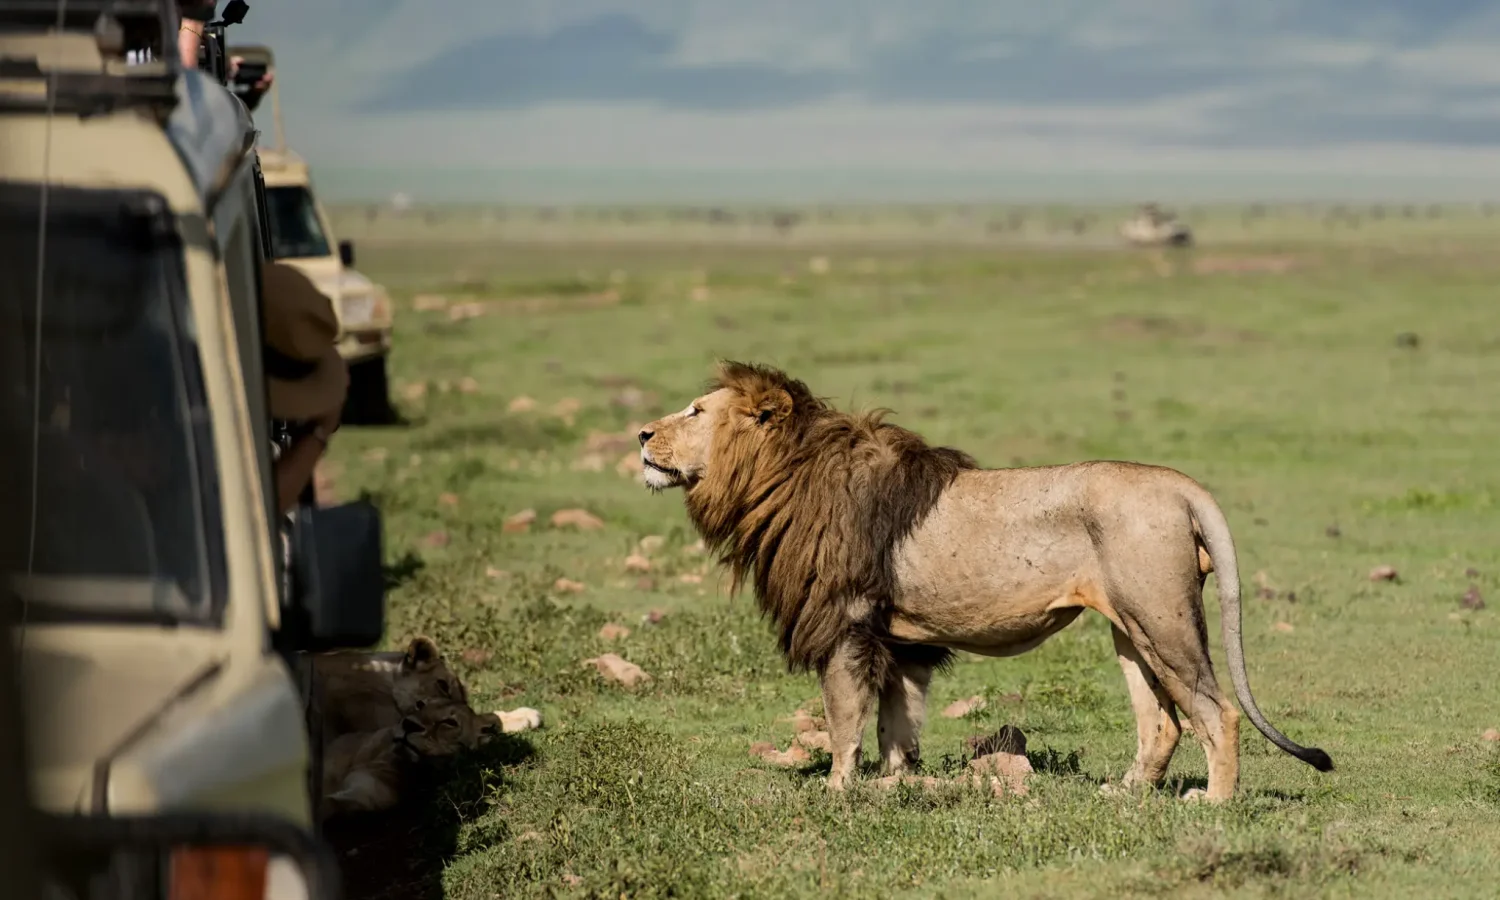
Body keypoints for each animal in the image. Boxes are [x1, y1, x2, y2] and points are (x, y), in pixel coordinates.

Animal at [638, 361, 1332, 801]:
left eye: (694, 411)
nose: (642, 434)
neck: (781, 476)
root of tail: (1180, 484)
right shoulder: (901, 640)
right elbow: (897, 722)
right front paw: (895, 784)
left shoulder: (845, 622)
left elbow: (843, 718)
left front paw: (836, 790)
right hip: (1132, 628)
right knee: (1162, 722)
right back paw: (1126, 793)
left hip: (1162, 619)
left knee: (1218, 712)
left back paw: (1214, 803)